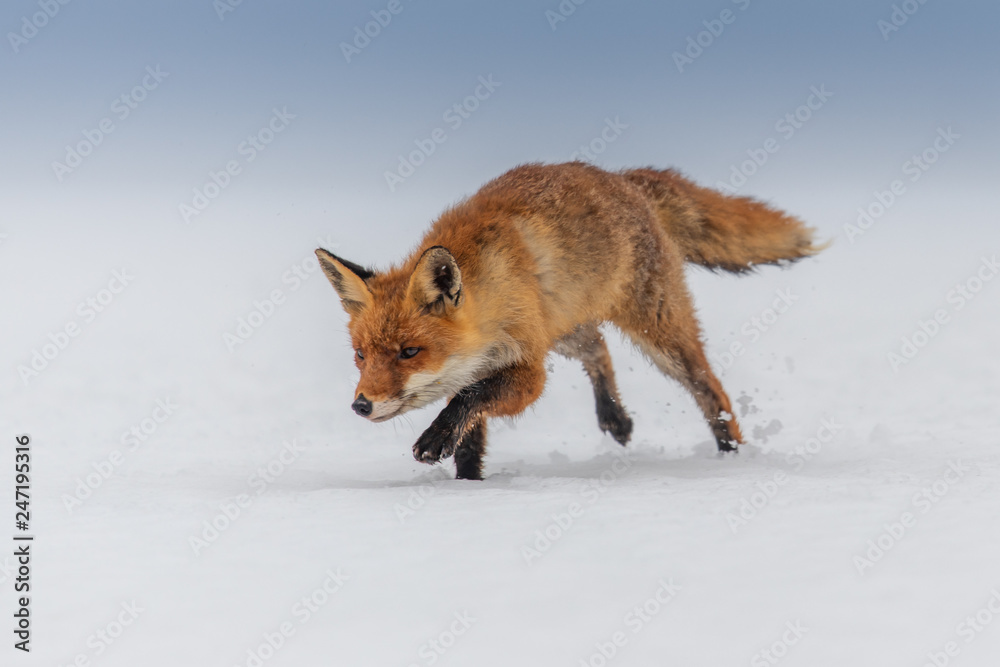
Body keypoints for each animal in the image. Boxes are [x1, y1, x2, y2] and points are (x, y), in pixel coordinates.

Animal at [316, 162, 823, 480]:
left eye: (409, 352)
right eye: (360, 355)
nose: (361, 405)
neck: (490, 292)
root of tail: (624, 179)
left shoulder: (526, 368)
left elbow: (468, 402)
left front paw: (434, 441)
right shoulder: (494, 362)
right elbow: (470, 437)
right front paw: (469, 487)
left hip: (658, 333)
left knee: (710, 389)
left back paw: (731, 457)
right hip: (565, 328)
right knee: (598, 347)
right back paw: (614, 416)